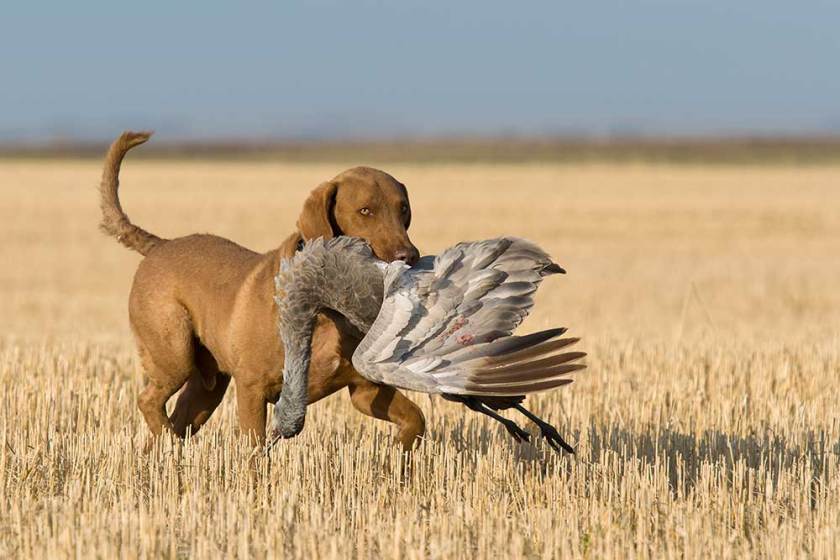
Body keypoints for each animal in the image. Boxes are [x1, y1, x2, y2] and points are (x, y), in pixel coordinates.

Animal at [100, 129, 426, 448]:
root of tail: (160, 245)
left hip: (206, 388)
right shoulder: (252, 387)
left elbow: (416, 418)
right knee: (148, 400)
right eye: (365, 211)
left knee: (173, 421)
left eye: (403, 209)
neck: (325, 309)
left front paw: (398, 453)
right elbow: (255, 448)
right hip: (174, 353)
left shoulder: (364, 389)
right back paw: (170, 443)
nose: (409, 255)